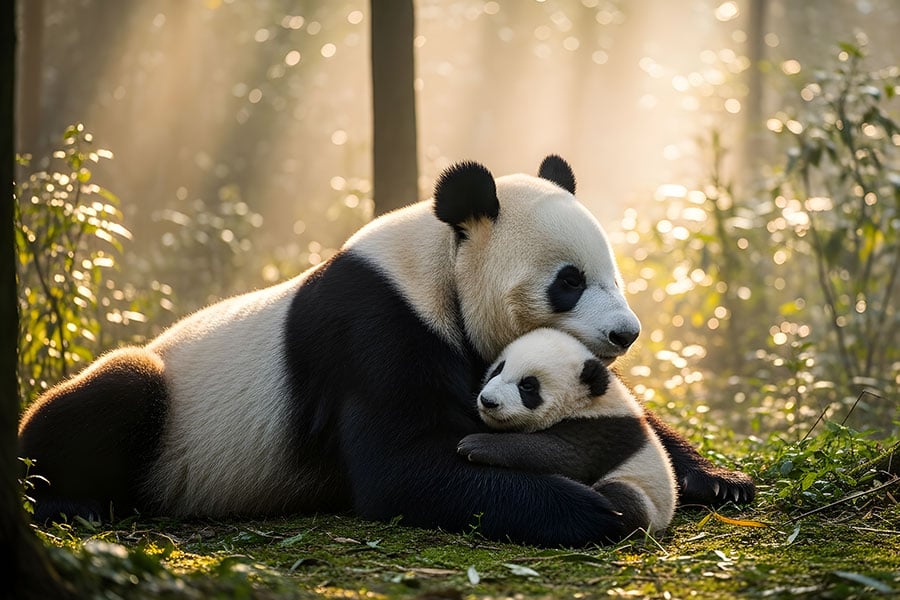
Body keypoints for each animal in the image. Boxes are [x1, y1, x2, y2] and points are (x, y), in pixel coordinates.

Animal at [457, 328, 677, 540]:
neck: (585, 402)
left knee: (625, 497)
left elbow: (561, 454)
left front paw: (475, 445)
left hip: (647, 496)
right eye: (498, 369)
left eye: (527, 385)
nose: (488, 401)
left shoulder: (599, 429)